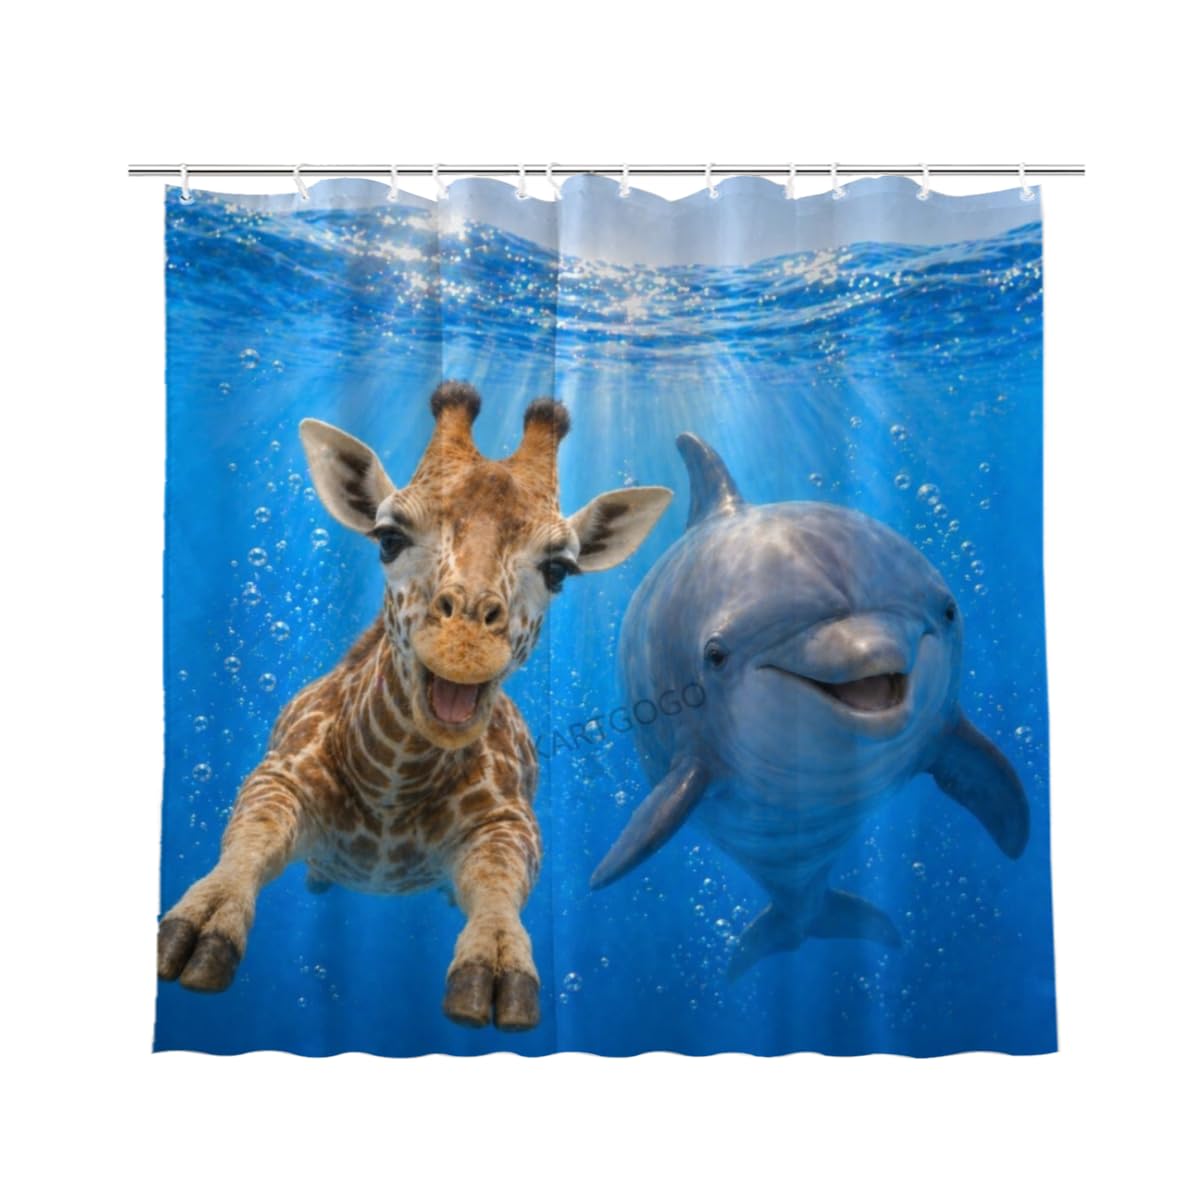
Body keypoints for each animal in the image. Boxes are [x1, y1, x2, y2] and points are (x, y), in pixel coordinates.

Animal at [157, 381, 672, 1032]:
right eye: (389, 538)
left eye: (559, 569)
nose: (465, 641)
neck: (393, 790)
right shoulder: (278, 775)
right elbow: (252, 835)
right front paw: (202, 924)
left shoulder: (511, 821)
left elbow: (497, 881)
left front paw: (496, 962)